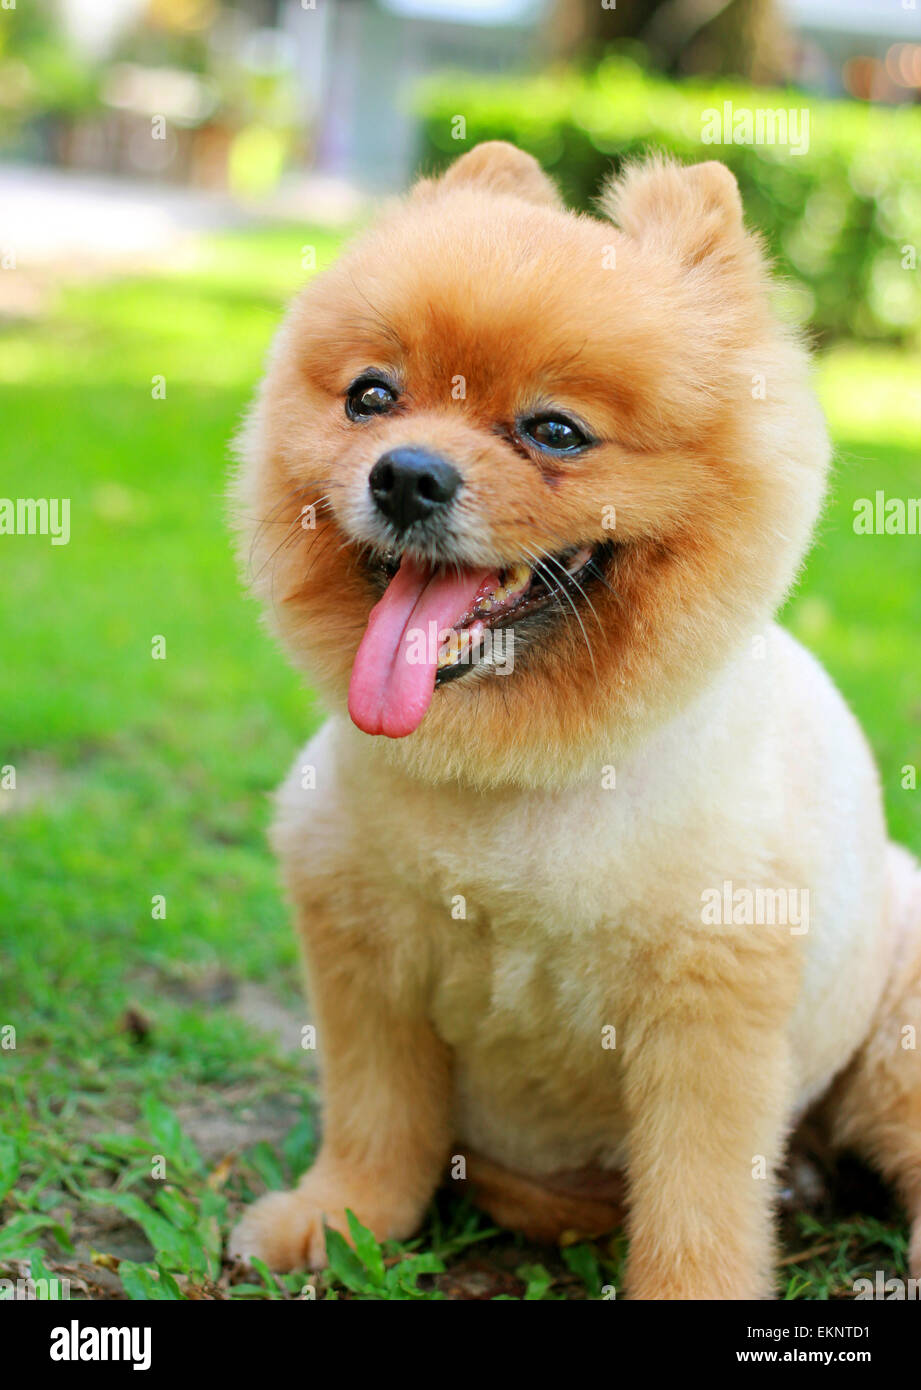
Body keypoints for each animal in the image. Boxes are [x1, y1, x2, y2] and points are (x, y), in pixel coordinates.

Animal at [229, 143, 921, 1301]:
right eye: (371, 397)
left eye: (555, 430)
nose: (406, 472)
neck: (517, 781)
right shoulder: (364, 953)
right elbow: (376, 1120)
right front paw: (340, 1219)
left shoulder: (708, 1017)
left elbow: (696, 1202)